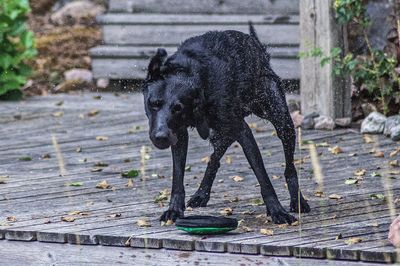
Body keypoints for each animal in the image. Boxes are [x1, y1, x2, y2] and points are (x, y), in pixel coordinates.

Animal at [142, 23, 310, 224]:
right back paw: (201, 194)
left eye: (177, 108)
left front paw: (277, 210)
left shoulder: (243, 131)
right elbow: (178, 176)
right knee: (214, 159)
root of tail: (256, 45)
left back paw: (297, 200)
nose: (161, 137)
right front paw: (174, 209)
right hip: (221, 133)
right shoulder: (179, 134)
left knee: (290, 168)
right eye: (153, 104)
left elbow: (263, 176)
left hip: (281, 121)